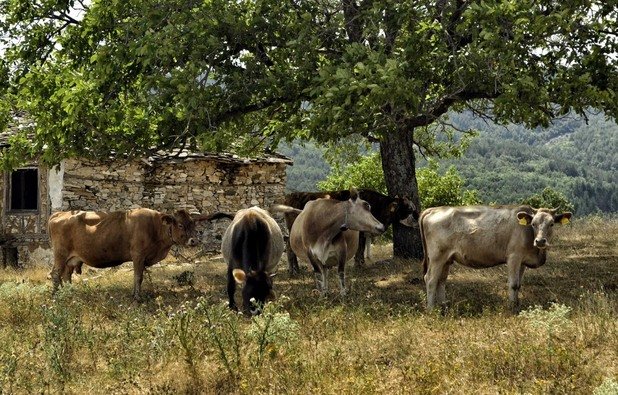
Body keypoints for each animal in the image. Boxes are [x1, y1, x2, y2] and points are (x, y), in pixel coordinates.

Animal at [48, 207, 206, 300]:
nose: (194, 240)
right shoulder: (138, 255)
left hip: (71, 259)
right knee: (55, 273)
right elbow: (138, 277)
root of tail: (60, 213)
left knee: (66, 275)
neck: (155, 227)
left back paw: (68, 293)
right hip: (60, 254)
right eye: (180, 225)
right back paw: (55, 295)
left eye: (193, 224)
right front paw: (137, 298)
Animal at [282, 189, 416, 276]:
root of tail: (291, 195)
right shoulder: (360, 232)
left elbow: (361, 247)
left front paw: (361, 264)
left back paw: (295, 270)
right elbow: (360, 248)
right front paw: (359, 265)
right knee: (289, 246)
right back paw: (295, 271)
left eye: (413, 208)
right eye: (409, 209)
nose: (416, 220)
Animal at [418, 206, 568, 310]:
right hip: (437, 257)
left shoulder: (523, 261)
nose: (540, 241)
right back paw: (431, 309)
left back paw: (443, 306)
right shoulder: (513, 257)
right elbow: (513, 284)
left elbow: (519, 284)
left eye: (551, 224)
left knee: (441, 280)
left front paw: (517, 304)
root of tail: (434, 209)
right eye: (533, 224)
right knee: (430, 279)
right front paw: (512, 307)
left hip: (447, 259)